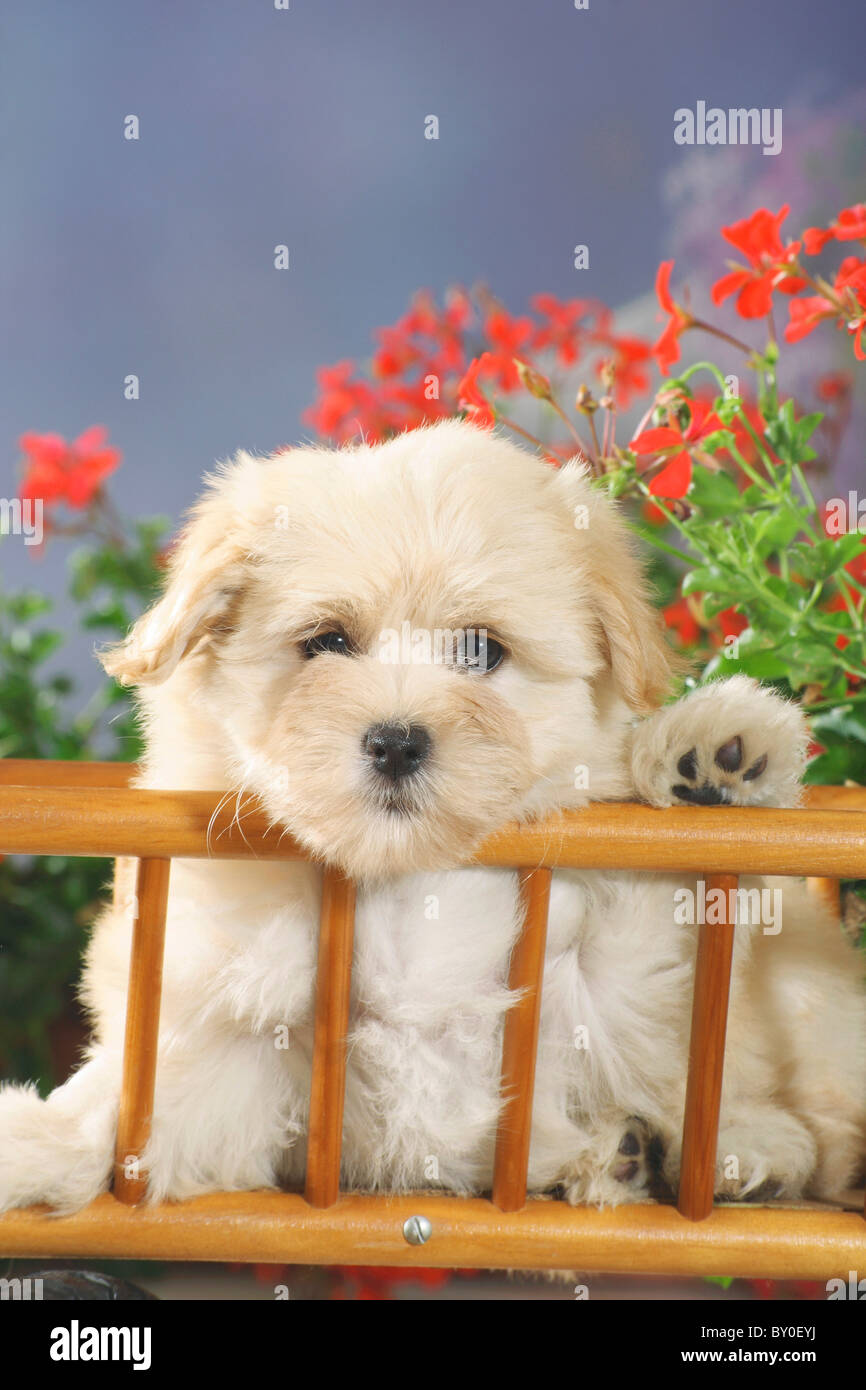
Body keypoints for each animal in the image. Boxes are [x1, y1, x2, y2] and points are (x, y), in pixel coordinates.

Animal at [1, 417, 866, 1212]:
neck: (410, 885)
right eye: (326, 643)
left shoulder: (615, 980)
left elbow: (665, 937)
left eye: (480, 651)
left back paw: (748, 1148)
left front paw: (716, 750)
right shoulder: (236, 1043)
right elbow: (136, 1112)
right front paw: (41, 1146)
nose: (396, 740)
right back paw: (632, 1154)